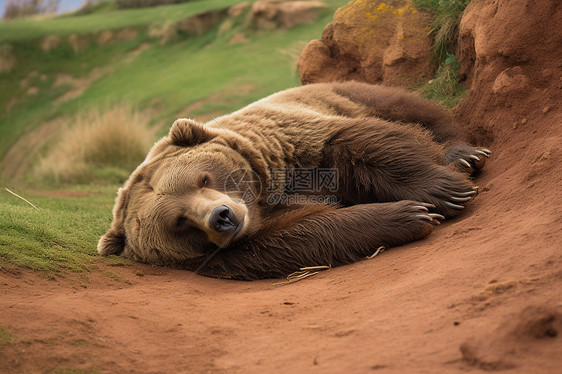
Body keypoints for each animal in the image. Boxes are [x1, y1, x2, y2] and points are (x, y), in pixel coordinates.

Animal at [98, 82, 488, 280]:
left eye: (202, 178)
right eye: (179, 222)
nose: (222, 217)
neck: (261, 199)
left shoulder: (295, 143)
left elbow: (366, 141)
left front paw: (446, 191)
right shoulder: (242, 245)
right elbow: (303, 235)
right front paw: (408, 214)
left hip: (346, 93)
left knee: (412, 108)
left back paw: (464, 153)